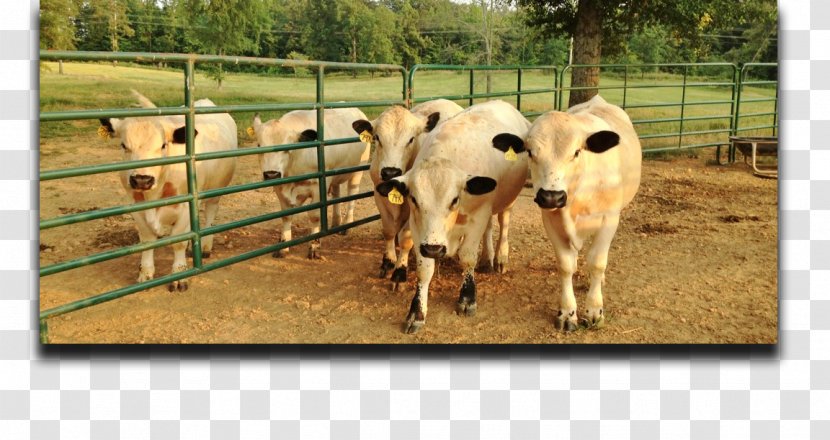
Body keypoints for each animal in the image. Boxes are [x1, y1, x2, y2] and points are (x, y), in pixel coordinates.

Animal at [100, 91, 240, 290]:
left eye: (163, 145)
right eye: (124, 145)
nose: (142, 179)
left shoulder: (186, 207)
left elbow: (178, 242)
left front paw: (179, 275)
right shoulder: (135, 206)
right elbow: (147, 241)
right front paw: (145, 273)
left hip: (216, 189)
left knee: (210, 214)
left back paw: (205, 246)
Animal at [252, 108, 372, 260]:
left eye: (287, 148)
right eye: (258, 145)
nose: (271, 174)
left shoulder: (318, 187)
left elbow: (314, 216)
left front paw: (314, 246)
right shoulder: (281, 187)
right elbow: (286, 215)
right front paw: (283, 245)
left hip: (357, 172)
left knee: (352, 194)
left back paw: (347, 225)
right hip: (334, 175)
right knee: (336, 192)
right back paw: (336, 221)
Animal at [352, 99, 468, 288]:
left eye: (411, 139)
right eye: (377, 137)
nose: (390, 172)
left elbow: (406, 238)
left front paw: (400, 271)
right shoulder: (379, 196)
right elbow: (389, 231)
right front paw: (388, 261)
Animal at [378, 99, 532, 334]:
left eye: (454, 199)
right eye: (414, 199)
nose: (434, 249)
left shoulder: (478, 216)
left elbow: (467, 257)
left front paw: (467, 297)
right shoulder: (419, 228)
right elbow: (424, 269)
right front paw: (417, 311)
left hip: (507, 202)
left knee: (503, 222)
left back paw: (500, 257)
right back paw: (487, 258)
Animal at [500, 95, 644, 330]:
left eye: (576, 152)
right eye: (530, 152)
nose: (551, 196)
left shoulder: (609, 220)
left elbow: (597, 263)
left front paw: (595, 310)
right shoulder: (551, 220)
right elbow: (566, 266)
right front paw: (567, 312)